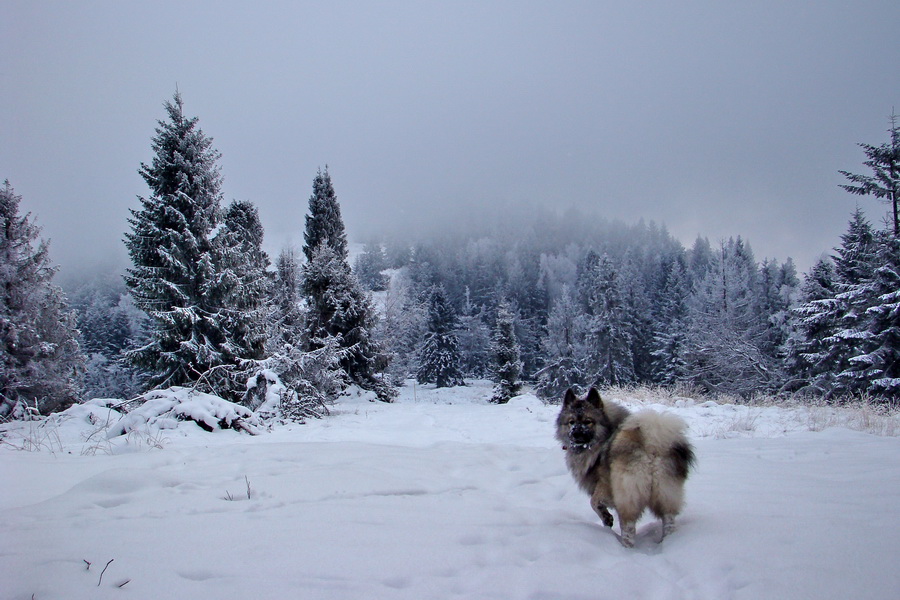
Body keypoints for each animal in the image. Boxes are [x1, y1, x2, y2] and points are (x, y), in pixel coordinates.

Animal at [556, 386, 696, 548]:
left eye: (588, 421)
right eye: (571, 422)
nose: (576, 434)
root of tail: (652, 445)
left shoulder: (605, 486)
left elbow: (594, 502)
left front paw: (607, 518)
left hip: (627, 494)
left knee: (628, 525)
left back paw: (625, 546)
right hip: (666, 492)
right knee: (669, 519)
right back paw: (667, 542)